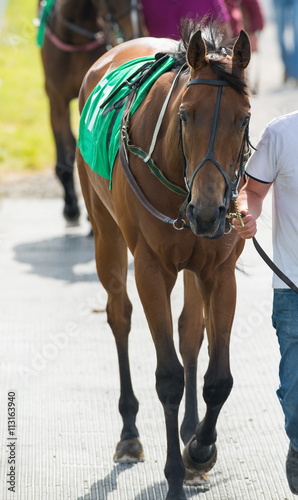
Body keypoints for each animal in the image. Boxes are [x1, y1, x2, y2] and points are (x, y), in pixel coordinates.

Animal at [76, 20, 249, 500]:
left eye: (244, 118)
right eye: (185, 114)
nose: (207, 212)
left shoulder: (218, 270)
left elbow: (219, 377)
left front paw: (200, 450)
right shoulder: (152, 269)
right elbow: (168, 377)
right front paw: (175, 475)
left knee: (190, 332)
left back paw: (190, 433)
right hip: (106, 231)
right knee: (119, 314)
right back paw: (129, 434)